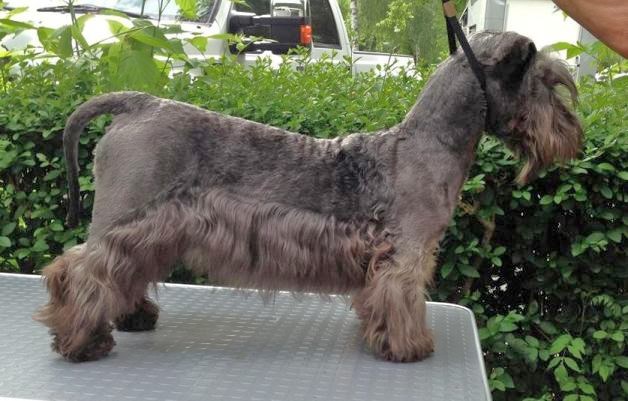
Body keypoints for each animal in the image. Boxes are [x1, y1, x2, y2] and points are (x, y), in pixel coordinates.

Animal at [34, 31, 582, 363]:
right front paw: (409, 346)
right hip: (128, 219)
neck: (425, 141)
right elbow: (404, 300)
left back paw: (132, 317)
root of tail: (139, 102)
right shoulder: (406, 256)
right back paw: (83, 340)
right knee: (78, 270)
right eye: (546, 84)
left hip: (152, 228)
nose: (573, 133)